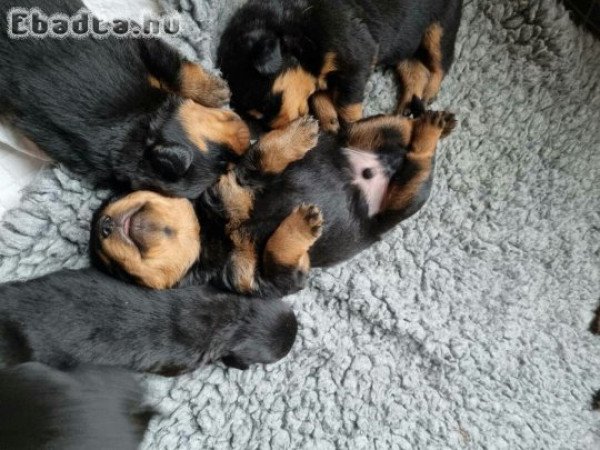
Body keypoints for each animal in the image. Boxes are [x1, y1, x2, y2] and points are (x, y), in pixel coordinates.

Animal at [0, 0, 248, 198]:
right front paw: (215, 90)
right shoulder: (132, 37)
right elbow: (176, 67)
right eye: (223, 161)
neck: (140, 123)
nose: (247, 138)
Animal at [90, 108, 454, 296]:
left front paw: (298, 134)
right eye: (117, 271)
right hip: (401, 201)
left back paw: (436, 123)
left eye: (117, 197)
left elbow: (262, 154)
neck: (212, 232)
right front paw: (304, 224)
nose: (105, 224)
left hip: (359, 138)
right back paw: (430, 131)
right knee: (416, 164)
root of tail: (382, 167)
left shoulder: (233, 182)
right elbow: (278, 257)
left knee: (396, 127)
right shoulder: (265, 281)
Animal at [218, 0, 462, 132]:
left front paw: (351, 126)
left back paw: (430, 91)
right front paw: (329, 118)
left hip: (440, 25)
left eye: (267, 104)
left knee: (440, 63)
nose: (269, 132)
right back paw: (407, 104)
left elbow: (347, 103)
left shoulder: (357, 59)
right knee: (415, 70)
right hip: (404, 42)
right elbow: (318, 94)